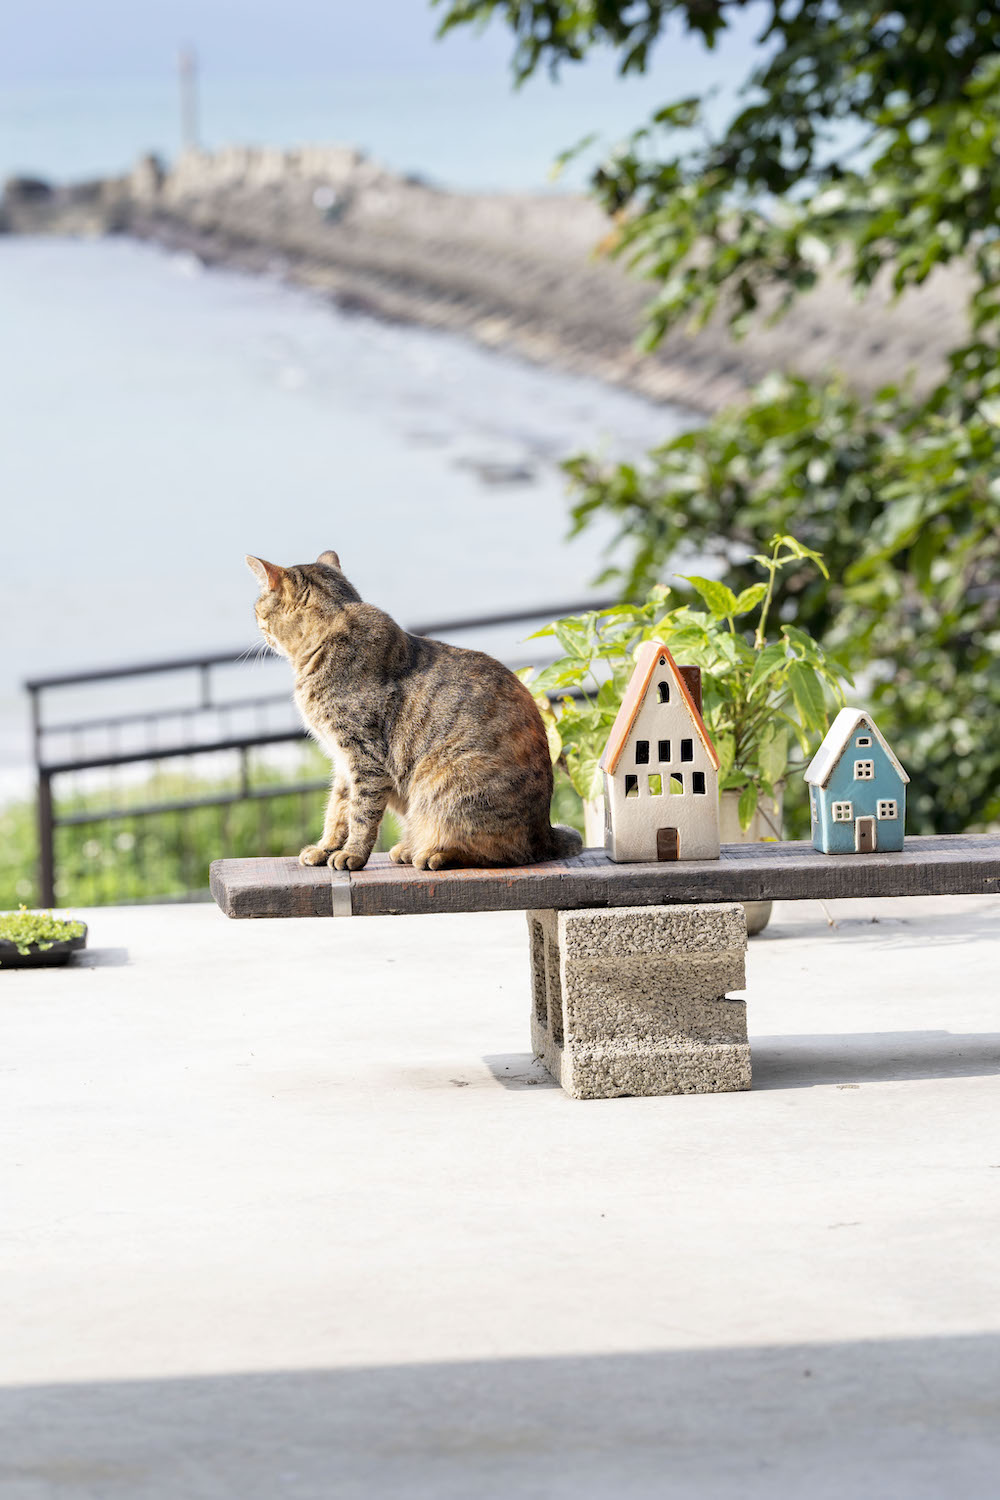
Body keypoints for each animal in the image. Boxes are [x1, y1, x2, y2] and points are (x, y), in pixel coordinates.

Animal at [245, 552, 581, 876]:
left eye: (257, 611)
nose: (258, 626)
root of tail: (546, 832)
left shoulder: (365, 758)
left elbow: (361, 815)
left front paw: (352, 855)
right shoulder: (342, 762)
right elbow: (337, 810)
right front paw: (325, 848)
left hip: (445, 783)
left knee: (504, 852)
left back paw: (434, 853)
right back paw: (410, 848)